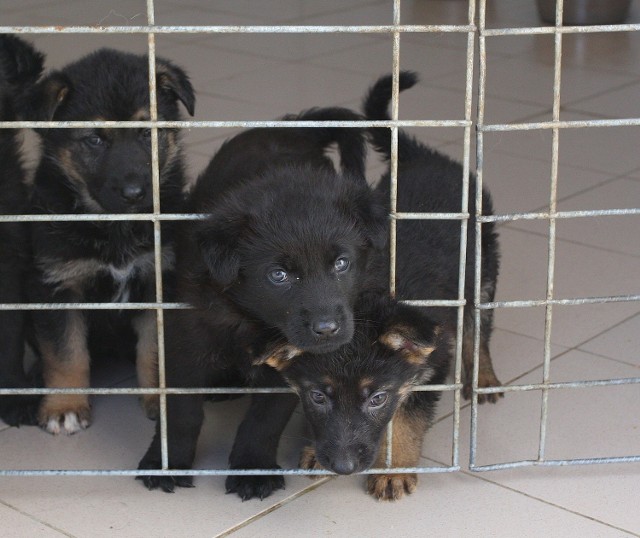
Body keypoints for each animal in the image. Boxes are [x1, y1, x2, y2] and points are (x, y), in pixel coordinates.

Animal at [24, 48, 195, 434]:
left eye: (147, 134)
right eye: (95, 140)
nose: (135, 193)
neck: (115, 226)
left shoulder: (158, 279)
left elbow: (153, 350)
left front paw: (159, 400)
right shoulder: (58, 287)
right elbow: (66, 354)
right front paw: (64, 407)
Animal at [138, 105, 388, 498]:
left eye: (341, 263)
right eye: (278, 275)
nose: (328, 329)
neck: (255, 321)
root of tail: (291, 126)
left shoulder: (291, 369)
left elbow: (265, 419)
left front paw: (252, 469)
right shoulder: (187, 340)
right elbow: (180, 413)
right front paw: (166, 463)